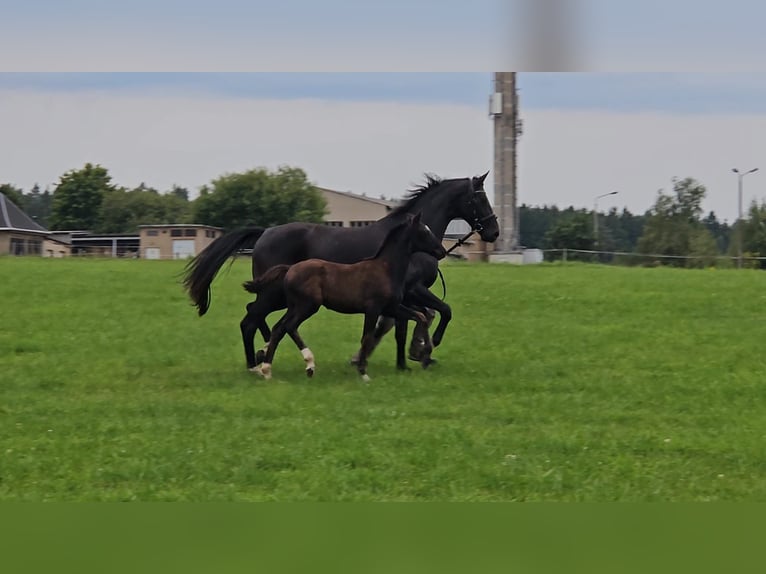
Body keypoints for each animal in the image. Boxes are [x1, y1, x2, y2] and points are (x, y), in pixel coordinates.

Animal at [243, 212, 446, 381]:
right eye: (424, 232)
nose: (442, 252)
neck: (386, 268)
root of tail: (290, 269)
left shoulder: (392, 307)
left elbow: (420, 317)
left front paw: (423, 352)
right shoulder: (373, 309)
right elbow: (367, 338)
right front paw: (363, 373)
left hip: (294, 306)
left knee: (279, 328)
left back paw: (268, 369)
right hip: (307, 306)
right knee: (287, 326)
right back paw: (306, 364)